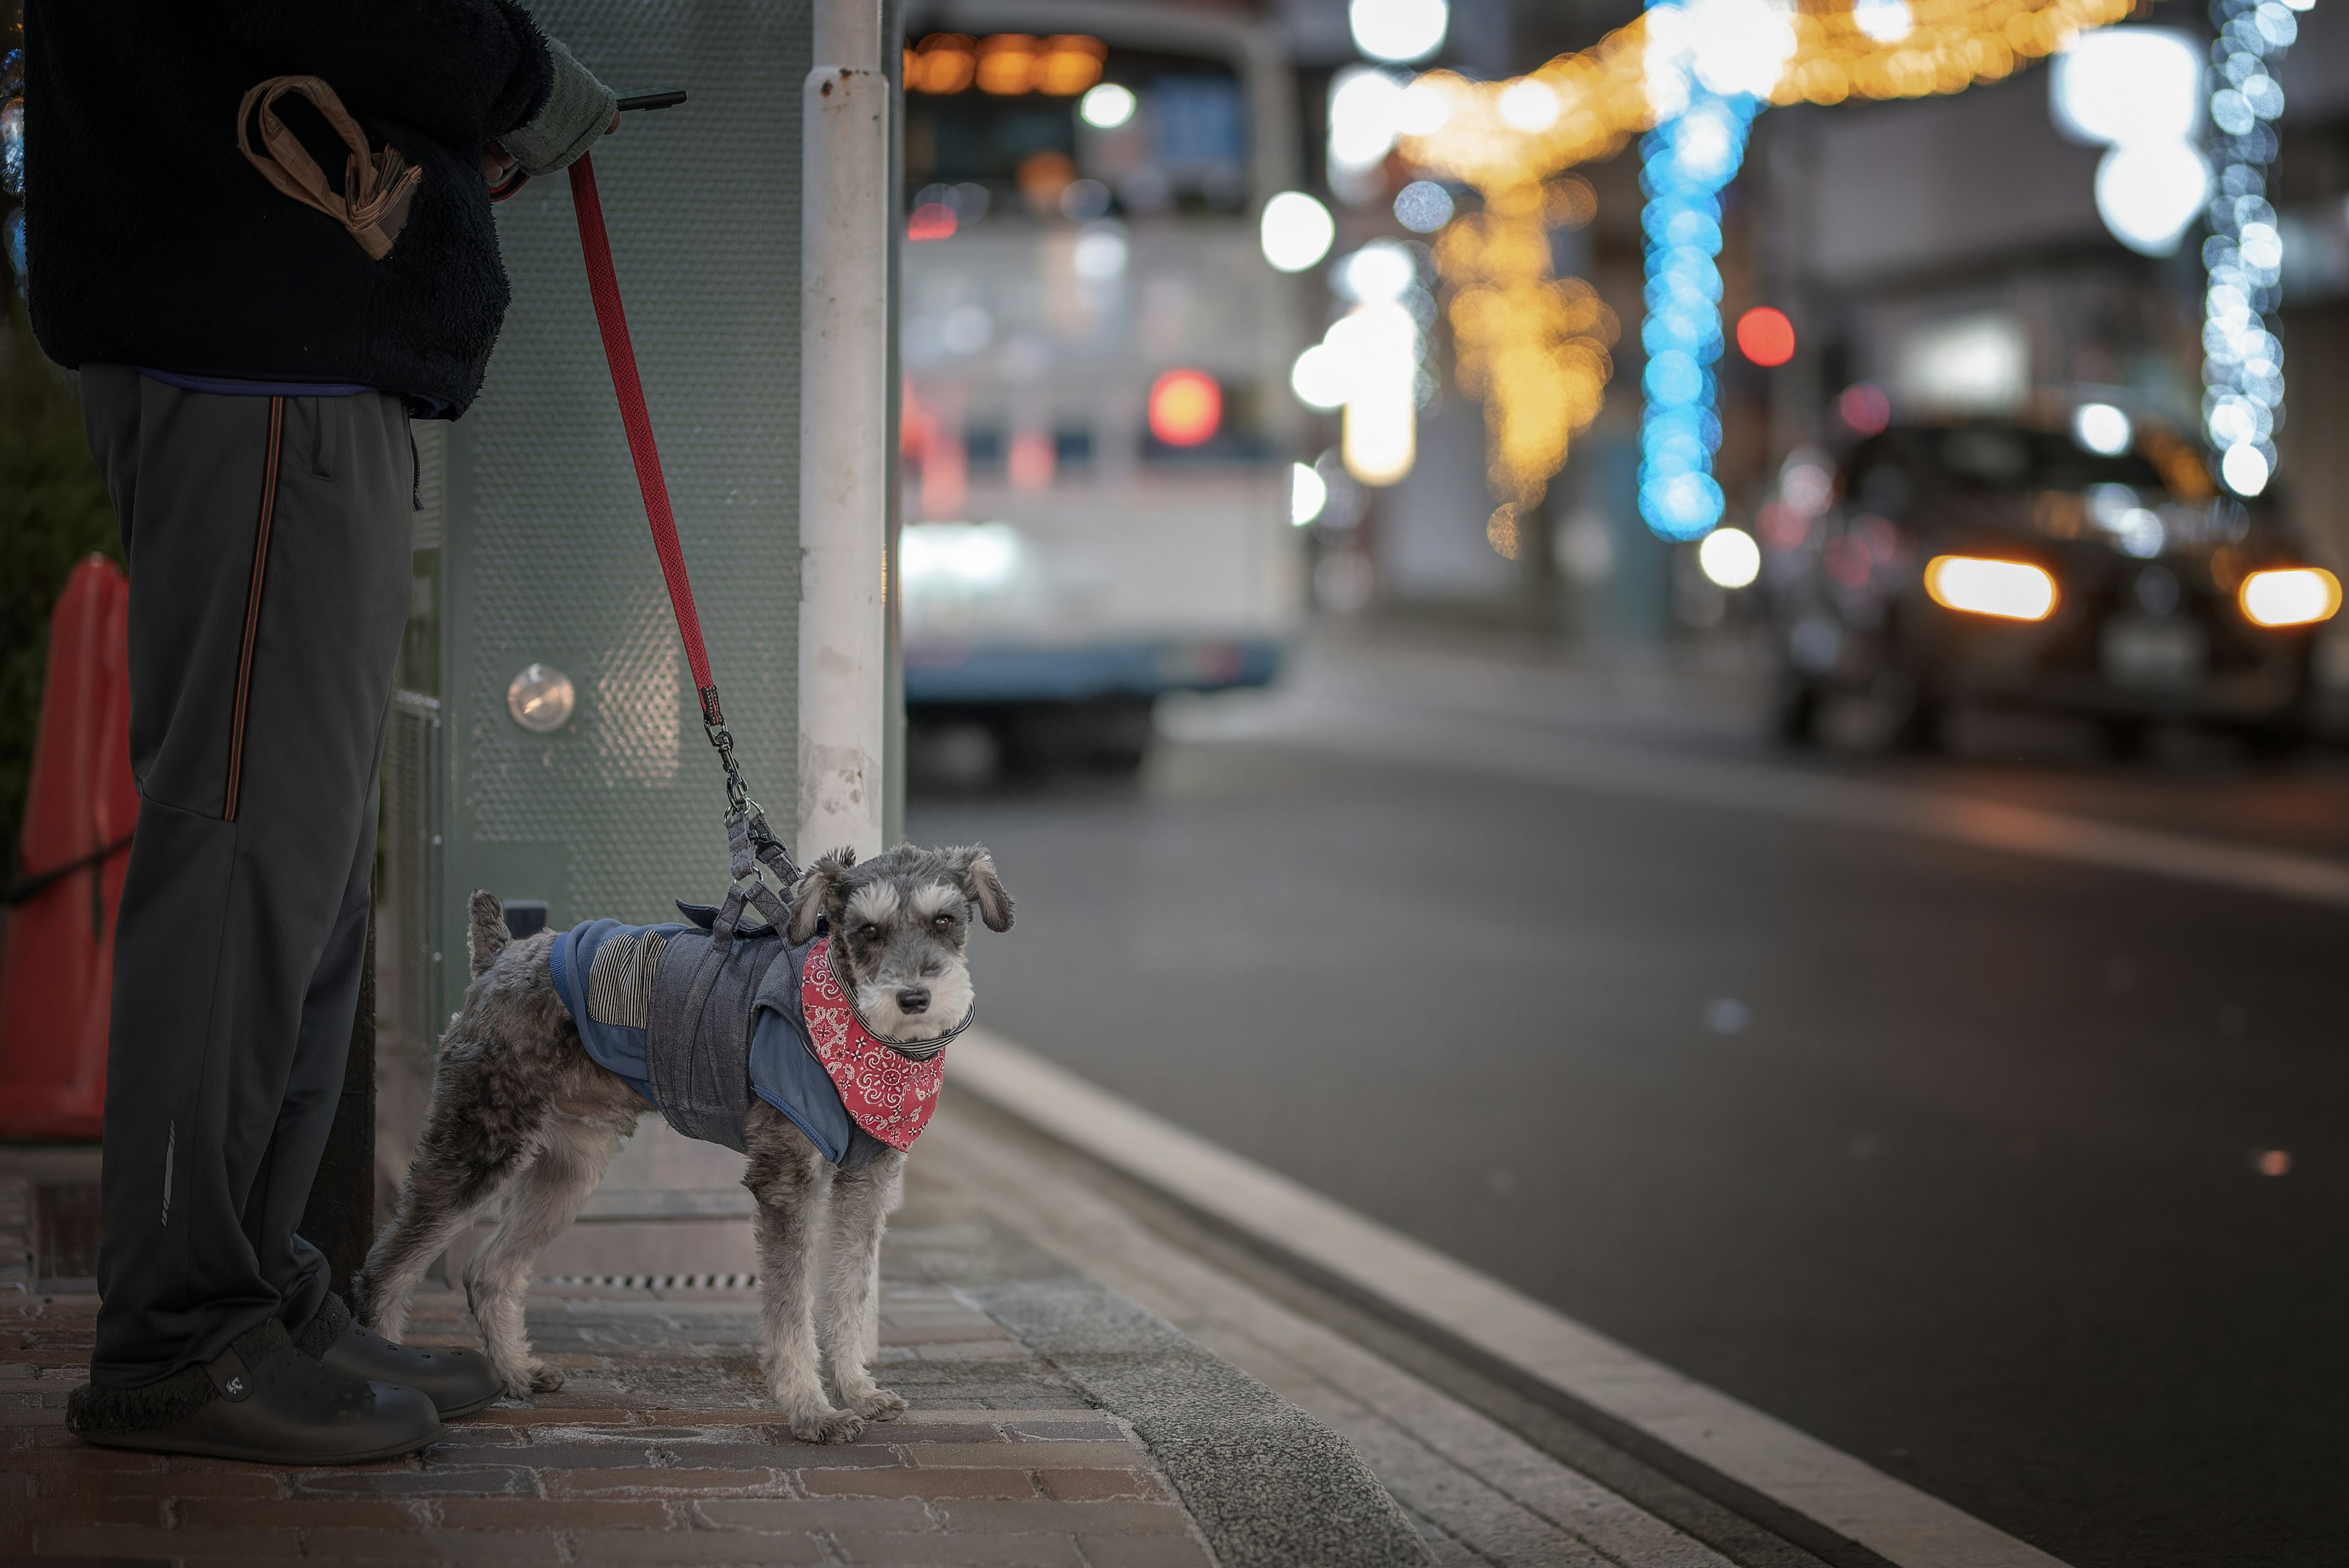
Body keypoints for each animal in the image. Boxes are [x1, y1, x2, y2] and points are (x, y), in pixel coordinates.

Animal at [354, 846, 1010, 1448]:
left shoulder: (865, 1182)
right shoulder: (786, 1181)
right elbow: (791, 1307)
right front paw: (812, 1410)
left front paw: (858, 1391)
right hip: (479, 1145)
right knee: (389, 1267)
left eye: (944, 920)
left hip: (570, 1172)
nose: (914, 998)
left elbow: (849, 1292)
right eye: (869, 930)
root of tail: (498, 956)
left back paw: (516, 1373)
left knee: (488, 1271)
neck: (855, 1026)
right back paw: (396, 1370)